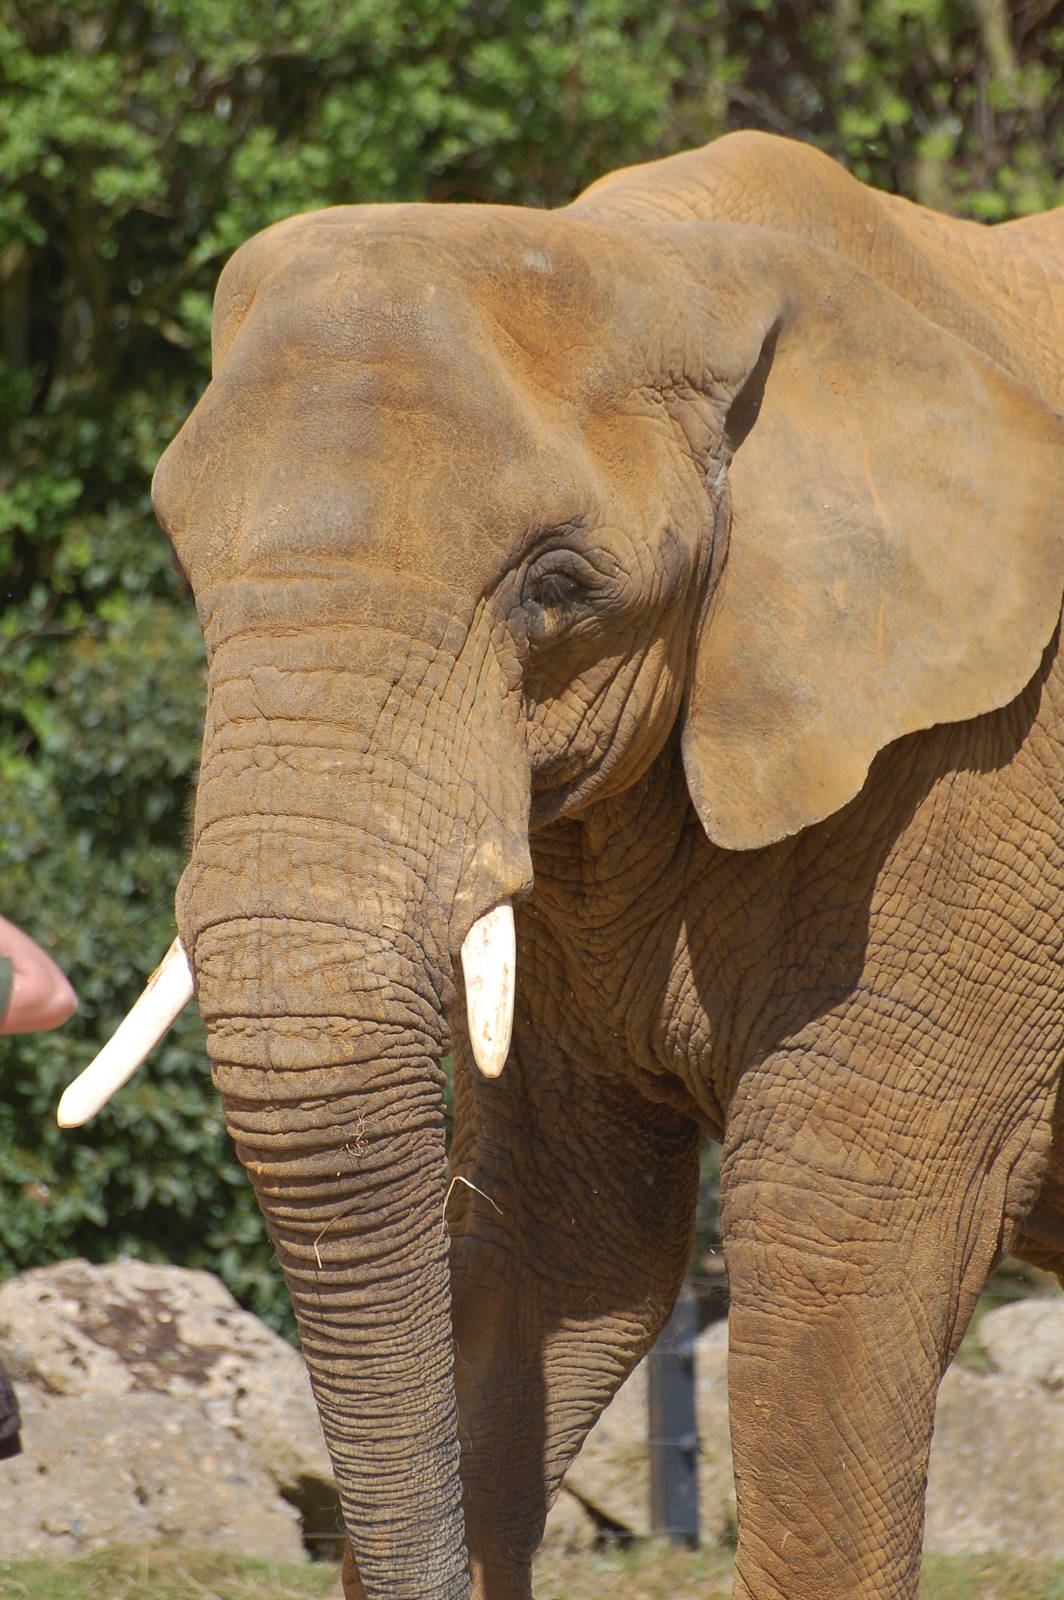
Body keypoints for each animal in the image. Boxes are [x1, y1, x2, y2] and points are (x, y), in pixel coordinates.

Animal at [60, 130, 1064, 1599]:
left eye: (557, 588)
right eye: (187, 570)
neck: (682, 261)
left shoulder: (985, 788)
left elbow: (839, 1256)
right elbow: (561, 1242)